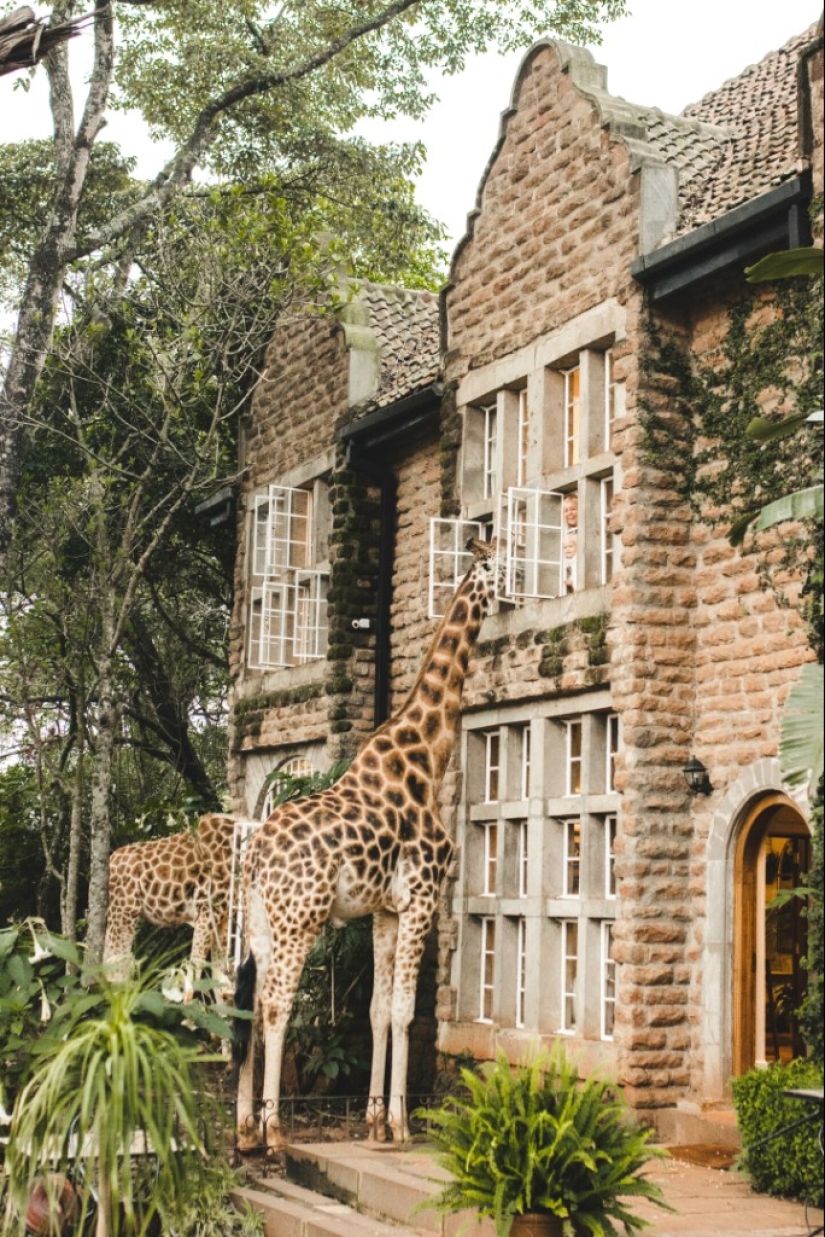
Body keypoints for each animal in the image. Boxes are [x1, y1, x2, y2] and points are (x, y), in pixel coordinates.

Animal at [103, 812, 236, 995]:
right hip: (124, 913)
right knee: (115, 967)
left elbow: (221, 980)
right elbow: (196, 969)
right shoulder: (208, 910)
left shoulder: (223, 918)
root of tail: (111, 860)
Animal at [233, 537, 501, 1152]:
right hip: (300, 919)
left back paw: (244, 1129)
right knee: (279, 1003)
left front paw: (375, 1119)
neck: (426, 754)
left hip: (260, 922)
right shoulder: (422, 898)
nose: (527, 588)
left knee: (251, 1005)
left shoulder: (384, 911)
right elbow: (402, 1011)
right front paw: (401, 1123)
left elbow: (379, 1011)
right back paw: (275, 1130)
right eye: (505, 564)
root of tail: (256, 856)